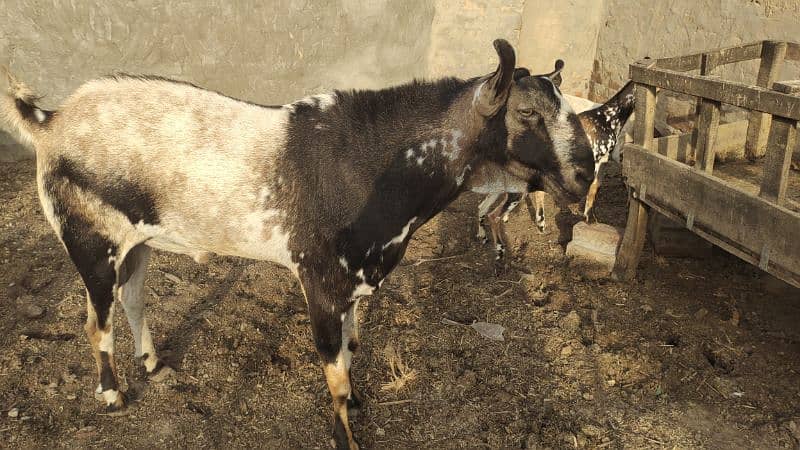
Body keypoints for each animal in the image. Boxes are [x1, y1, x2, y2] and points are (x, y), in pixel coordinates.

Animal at [1, 40, 592, 448]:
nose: (586, 174)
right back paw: (112, 394)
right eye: (527, 113)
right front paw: (344, 434)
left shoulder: (355, 287)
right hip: (89, 241)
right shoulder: (321, 283)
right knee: (95, 320)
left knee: (132, 297)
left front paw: (360, 403)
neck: (372, 167)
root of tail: (51, 121)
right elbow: (334, 372)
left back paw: (152, 364)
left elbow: (352, 353)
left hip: (138, 241)